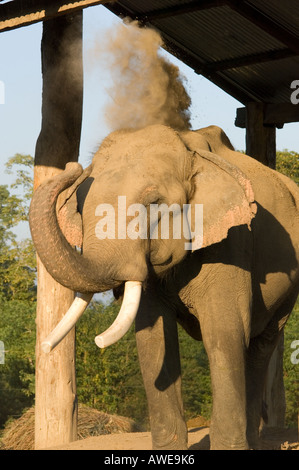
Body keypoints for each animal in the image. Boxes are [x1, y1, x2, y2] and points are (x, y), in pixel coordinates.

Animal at [29, 125, 299, 452]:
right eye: (80, 207)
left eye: (154, 203)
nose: (73, 166)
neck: (189, 152)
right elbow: (154, 336)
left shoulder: (233, 244)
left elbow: (224, 333)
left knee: (261, 344)